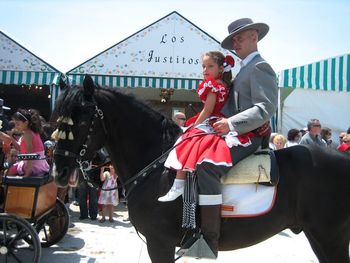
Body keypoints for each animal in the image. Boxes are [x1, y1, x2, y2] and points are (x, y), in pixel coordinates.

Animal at [52, 75, 350, 262]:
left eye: (82, 121)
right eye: (57, 118)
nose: (60, 171)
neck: (156, 165)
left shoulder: (159, 243)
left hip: (329, 237)